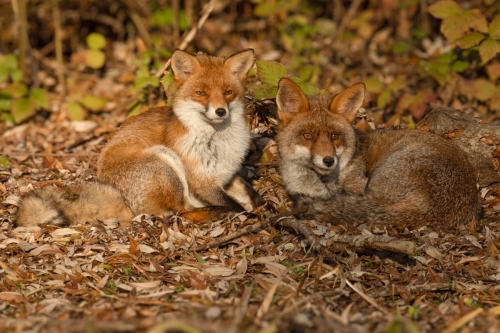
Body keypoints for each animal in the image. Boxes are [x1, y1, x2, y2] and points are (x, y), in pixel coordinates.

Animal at [16, 48, 264, 226]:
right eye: (200, 93)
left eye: (228, 92)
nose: (220, 111)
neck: (218, 142)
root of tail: (122, 199)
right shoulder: (201, 183)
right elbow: (236, 205)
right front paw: (252, 216)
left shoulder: (227, 176)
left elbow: (252, 195)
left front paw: (265, 207)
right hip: (164, 161)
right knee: (182, 211)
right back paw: (217, 214)